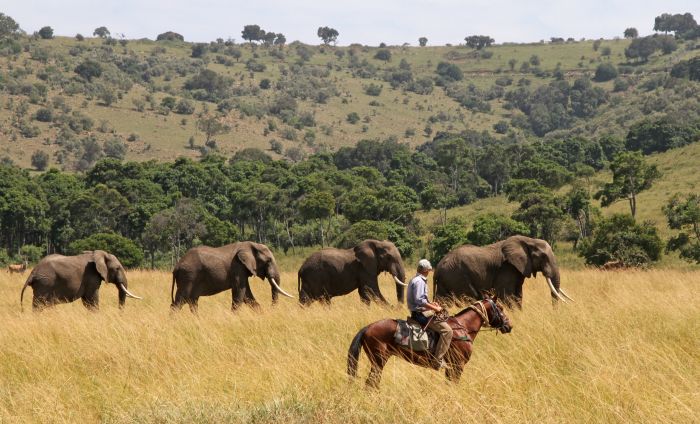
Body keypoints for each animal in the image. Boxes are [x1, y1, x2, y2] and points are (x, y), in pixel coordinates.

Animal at [348, 294, 512, 388]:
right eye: (501, 308)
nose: (509, 326)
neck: (463, 327)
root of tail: (368, 327)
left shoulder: (451, 368)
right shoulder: (458, 365)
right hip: (379, 361)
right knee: (371, 383)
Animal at [432, 235, 576, 308]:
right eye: (543, 257)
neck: (529, 240)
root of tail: (437, 268)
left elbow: (518, 294)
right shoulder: (507, 268)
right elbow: (507, 295)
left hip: (447, 280)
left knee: (444, 300)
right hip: (457, 276)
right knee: (467, 297)